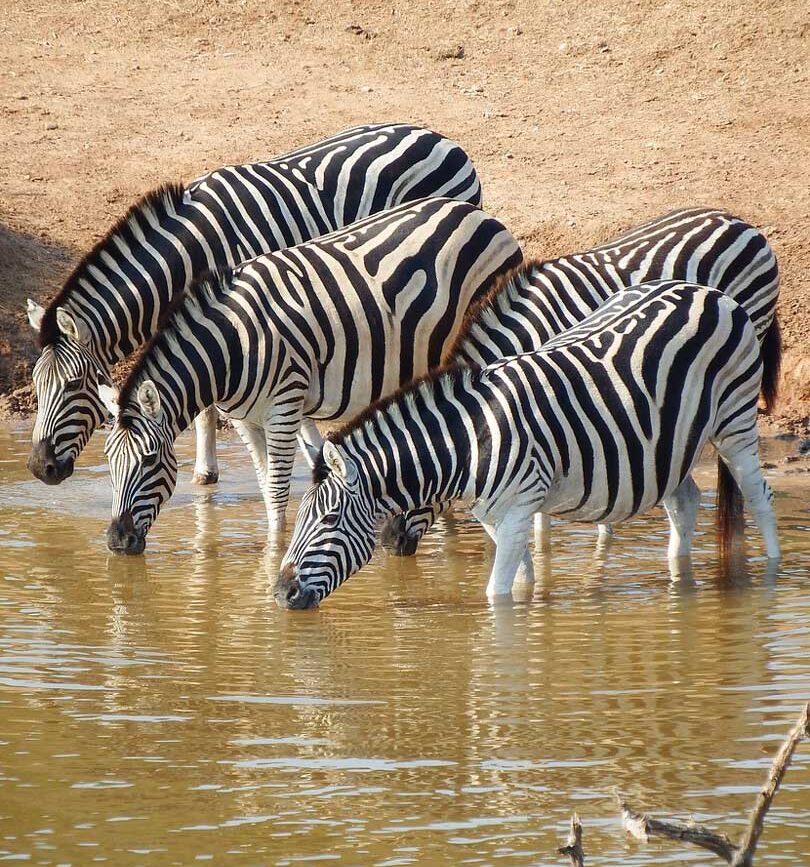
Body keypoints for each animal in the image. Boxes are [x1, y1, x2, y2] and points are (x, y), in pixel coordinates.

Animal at [100, 197, 522, 554]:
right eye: (108, 460)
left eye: (149, 460)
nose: (117, 541)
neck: (231, 345)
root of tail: (480, 215)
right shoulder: (245, 419)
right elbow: (265, 485)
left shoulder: (284, 406)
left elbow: (276, 490)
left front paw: (274, 552)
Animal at [274, 279, 780, 609]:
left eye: (330, 520)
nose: (280, 593)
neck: (469, 440)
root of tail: (709, 292)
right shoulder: (497, 518)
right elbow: (521, 583)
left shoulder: (519, 509)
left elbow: (496, 594)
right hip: (670, 445)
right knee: (685, 501)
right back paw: (679, 577)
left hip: (735, 419)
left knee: (758, 497)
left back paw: (772, 574)